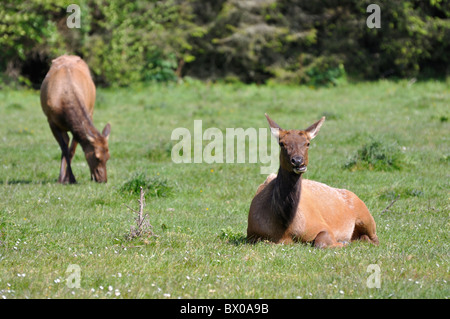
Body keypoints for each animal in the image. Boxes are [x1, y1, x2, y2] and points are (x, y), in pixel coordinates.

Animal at [40, 56, 110, 184]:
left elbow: (72, 150)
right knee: (66, 142)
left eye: (108, 156)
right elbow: (64, 149)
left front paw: (69, 178)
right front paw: (66, 178)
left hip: (91, 111)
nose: (103, 179)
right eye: (96, 157)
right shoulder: (51, 121)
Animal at [248, 114, 378, 249]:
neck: (284, 228)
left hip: (366, 217)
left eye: (307, 143)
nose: (298, 161)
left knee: (375, 239)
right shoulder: (252, 234)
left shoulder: (322, 226)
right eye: (282, 143)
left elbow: (320, 242)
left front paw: (342, 242)